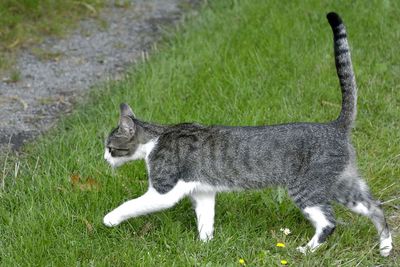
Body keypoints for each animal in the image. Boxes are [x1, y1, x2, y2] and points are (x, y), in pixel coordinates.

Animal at [103, 12, 394, 258]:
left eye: (110, 147)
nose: (104, 159)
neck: (156, 139)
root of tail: (334, 125)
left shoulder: (164, 191)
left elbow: (131, 204)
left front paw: (110, 218)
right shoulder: (203, 192)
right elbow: (206, 221)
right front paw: (205, 247)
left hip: (306, 188)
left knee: (329, 222)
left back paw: (306, 250)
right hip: (342, 185)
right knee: (376, 207)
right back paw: (386, 248)